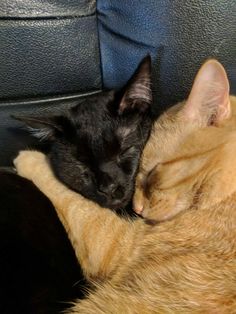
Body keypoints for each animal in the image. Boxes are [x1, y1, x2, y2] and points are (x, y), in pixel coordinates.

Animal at [14, 60, 236, 312]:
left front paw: (29, 159)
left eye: (151, 173)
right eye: (81, 165)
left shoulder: (117, 242)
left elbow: (75, 203)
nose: (136, 208)